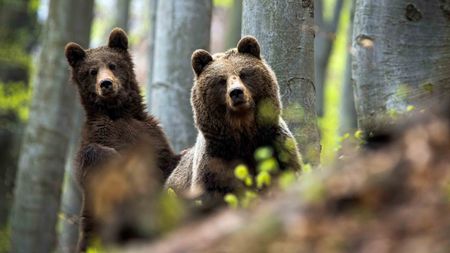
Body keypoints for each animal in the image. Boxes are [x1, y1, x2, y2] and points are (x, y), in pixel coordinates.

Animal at [63, 27, 179, 251]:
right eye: (92, 71)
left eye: (113, 64)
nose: (106, 84)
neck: (117, 112)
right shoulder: (99, 135)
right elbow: (93, 158)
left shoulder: (151, 136)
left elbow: (167, 161)